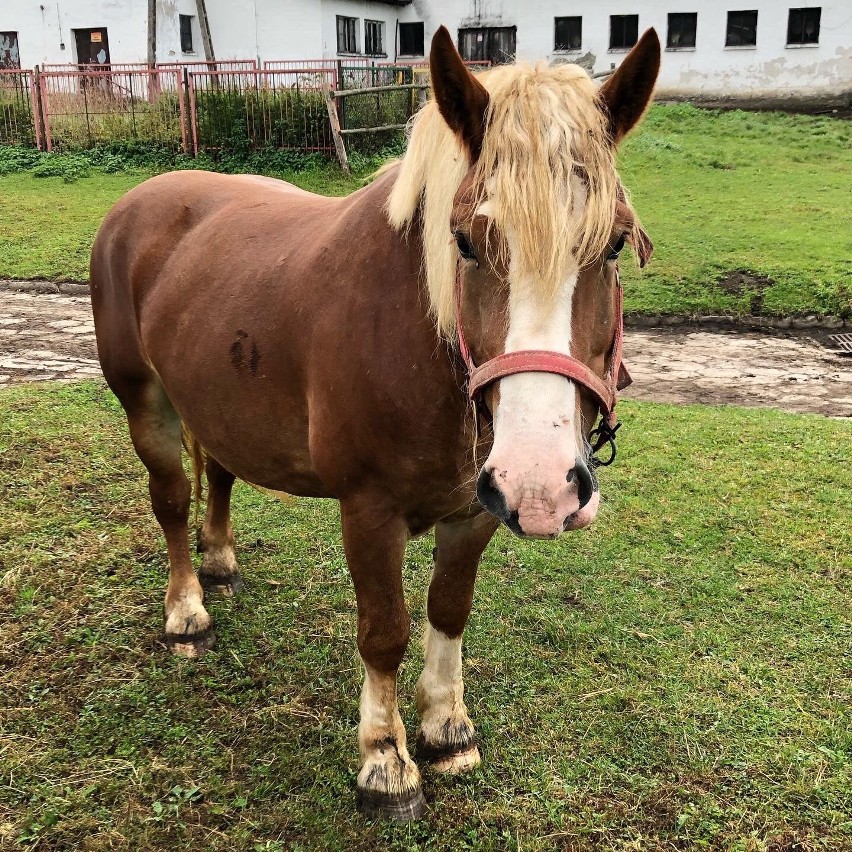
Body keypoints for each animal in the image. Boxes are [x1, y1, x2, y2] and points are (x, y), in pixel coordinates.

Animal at [93, 26, 664, 824]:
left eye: (612, 245)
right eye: (464, 242)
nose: (543, 486)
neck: (417, 338)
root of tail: (139, 201)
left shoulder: (473, 511)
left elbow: (449, 611)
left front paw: (447, 730)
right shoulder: (367, 511)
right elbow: (384, 632)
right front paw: (385, 762)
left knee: (222, 475)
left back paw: (220, 561)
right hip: (145, 403)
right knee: (172, 500)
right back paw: (186, 610)